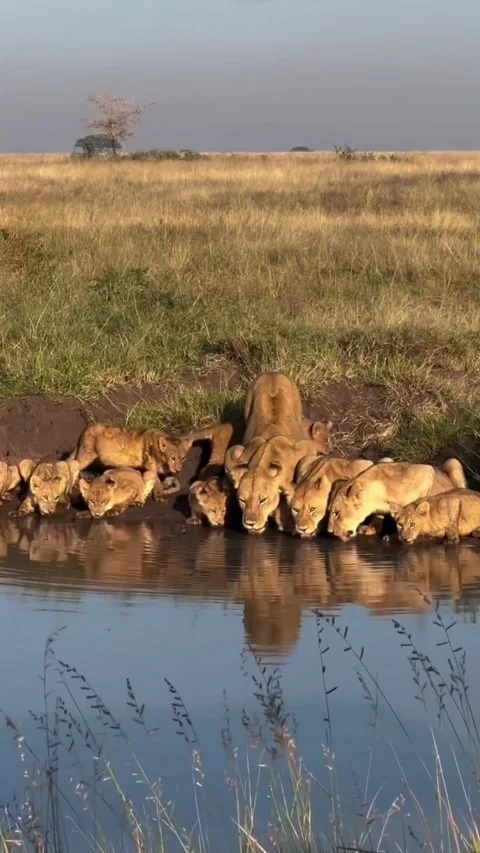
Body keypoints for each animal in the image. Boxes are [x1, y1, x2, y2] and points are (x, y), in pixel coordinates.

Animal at [328, 458, 467, 542]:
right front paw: (370, 528)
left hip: (453, 463)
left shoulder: (426, 471)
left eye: (337, 513)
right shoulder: (386, 459)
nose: (329, 531)